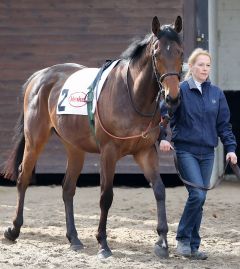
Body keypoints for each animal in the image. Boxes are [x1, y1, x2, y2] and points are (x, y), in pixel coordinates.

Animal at [2, 16, 183, 258]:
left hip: (74, 148)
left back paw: (74, 238)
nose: (172, 98)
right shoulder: (108, 152)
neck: (132, 94)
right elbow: (106, 196)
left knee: (68, 188)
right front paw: (103, 243)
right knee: (23, 178)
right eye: (157, 54)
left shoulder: (145, 151)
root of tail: (39, 76)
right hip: (35, 140)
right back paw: (14, 229)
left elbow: (160, 190)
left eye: (181, 52)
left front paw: (162, 242)